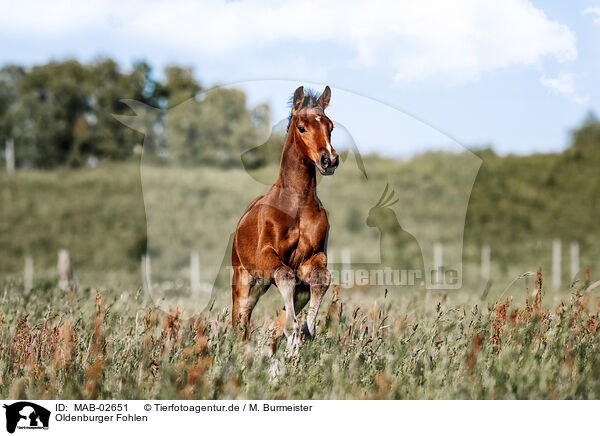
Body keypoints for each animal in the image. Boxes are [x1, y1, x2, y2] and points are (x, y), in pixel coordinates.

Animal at [232, 86, 340, 354]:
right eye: (301, 127)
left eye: (331, 127)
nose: (329, 160)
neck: (297, 205)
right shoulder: (266, 257)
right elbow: (284, 276)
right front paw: (294, 334)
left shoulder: (312, 259)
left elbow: (321, 279)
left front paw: (305, 332)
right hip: (244, 276)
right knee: (241, 315)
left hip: (263, 283)